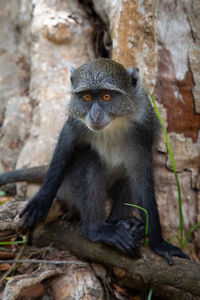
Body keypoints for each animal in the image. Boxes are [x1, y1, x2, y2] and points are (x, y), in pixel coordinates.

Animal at [0, 58, 188, 264]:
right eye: (87, 98)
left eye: (106, 97)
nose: (95, 115)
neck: (115, 123)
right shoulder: (75, 125)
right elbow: (65, 145)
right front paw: (40, 202)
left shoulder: (143, 131)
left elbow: (141, 179)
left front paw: (159, 243)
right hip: (68, 189)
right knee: (87, 156)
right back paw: (97, 230)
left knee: (128, 175)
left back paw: (123, 224)